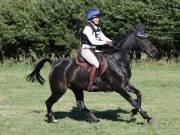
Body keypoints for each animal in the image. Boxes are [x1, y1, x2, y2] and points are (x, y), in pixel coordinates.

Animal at [26, 24, 159, 123]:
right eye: (142, 38)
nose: (155, 52)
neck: (118, 60)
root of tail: (54, 63)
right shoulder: (119, 87)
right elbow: (132, 101)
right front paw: (147, 117)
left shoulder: (125, 84)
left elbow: (138, 94)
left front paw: (134, 112)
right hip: (59, 90)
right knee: (48, 102)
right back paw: (52, 118)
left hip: (77, 89)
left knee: (80, 105)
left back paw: (94, 118)